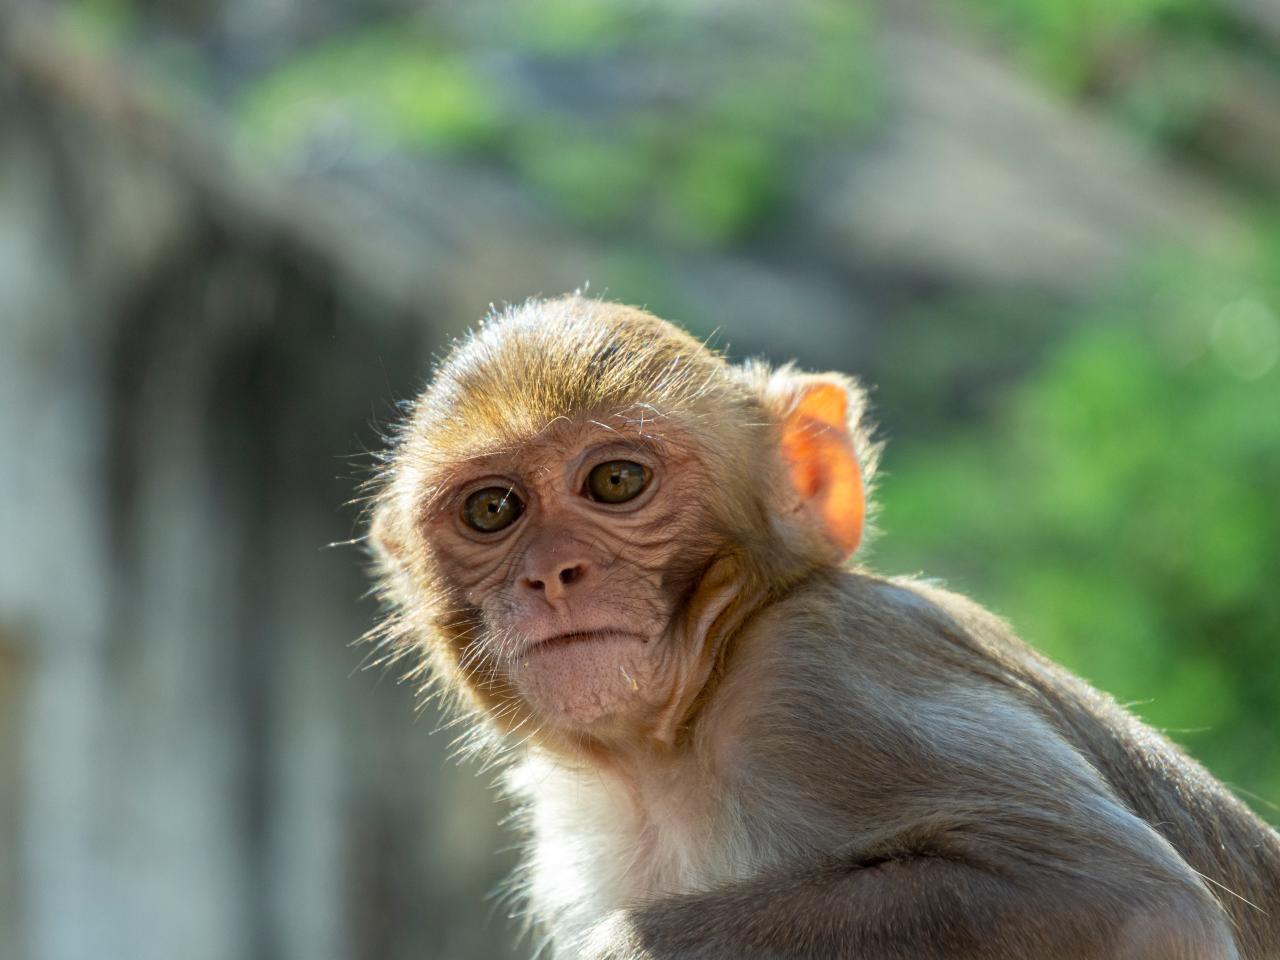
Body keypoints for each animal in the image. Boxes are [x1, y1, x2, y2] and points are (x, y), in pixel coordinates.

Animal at [363, 295, 1280, 960]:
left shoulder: (820, 680)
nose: (552, 574)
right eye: (492, 510)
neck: (673, 750)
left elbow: (1131, 900)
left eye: (616, 480)